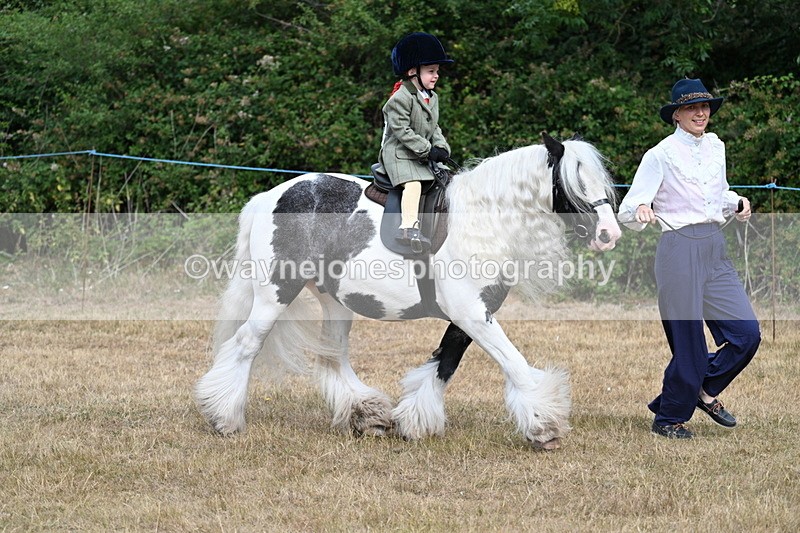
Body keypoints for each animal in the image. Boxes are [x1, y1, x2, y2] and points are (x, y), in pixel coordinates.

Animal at [194, 132, 622, 450]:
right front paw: (544, 425)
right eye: (573, 181)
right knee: (246, 344)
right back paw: (224, 416)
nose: (609, 234)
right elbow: (513, 362)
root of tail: (270, 196)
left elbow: (445, 363)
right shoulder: (473, 313)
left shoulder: (468, 316)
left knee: (332, 357)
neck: (483, 221)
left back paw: (367, 415)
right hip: (276, 292)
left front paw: (415, 420)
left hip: (334, 301)